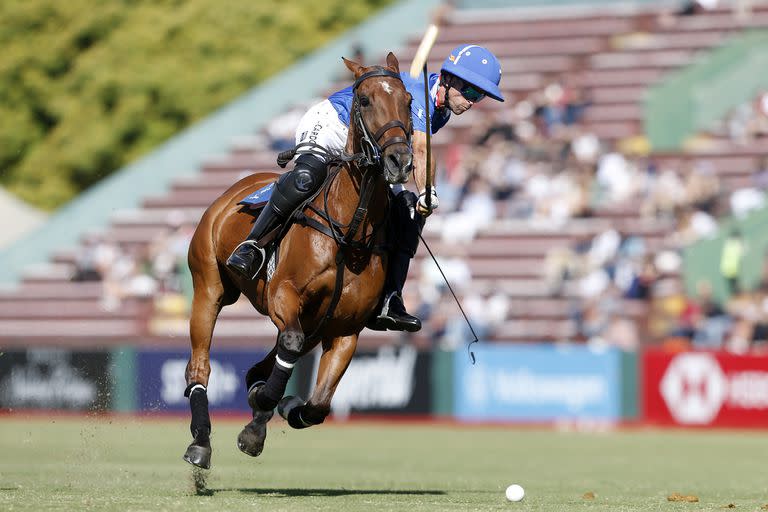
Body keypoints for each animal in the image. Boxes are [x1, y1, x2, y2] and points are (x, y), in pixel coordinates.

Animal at [181, 52, 414, 468]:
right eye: (365, 99)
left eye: (408, 101)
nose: (399, 160)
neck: (349, 230)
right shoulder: (283, 295)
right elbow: (288, 342)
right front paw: (260, 411)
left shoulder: (345, 328)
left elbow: (318, 405)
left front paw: (271, 413)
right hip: (208, 285)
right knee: (199, 365)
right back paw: (201, 442)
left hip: (316, 324)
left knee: (263, 367)